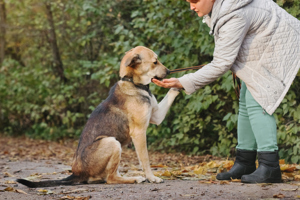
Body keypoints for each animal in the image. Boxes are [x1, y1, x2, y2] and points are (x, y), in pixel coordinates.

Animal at [16, 45, 179, 188]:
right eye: (155, 62)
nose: (169, 71)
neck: (133, 83)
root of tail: (77, 174)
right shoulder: (139, 132)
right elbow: (145, 159)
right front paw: (152, 178)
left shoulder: (157, 116)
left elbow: (171, 93)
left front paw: (178, 83)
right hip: (112, 142)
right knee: (111, 179)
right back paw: (135, 179)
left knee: (108, 176)